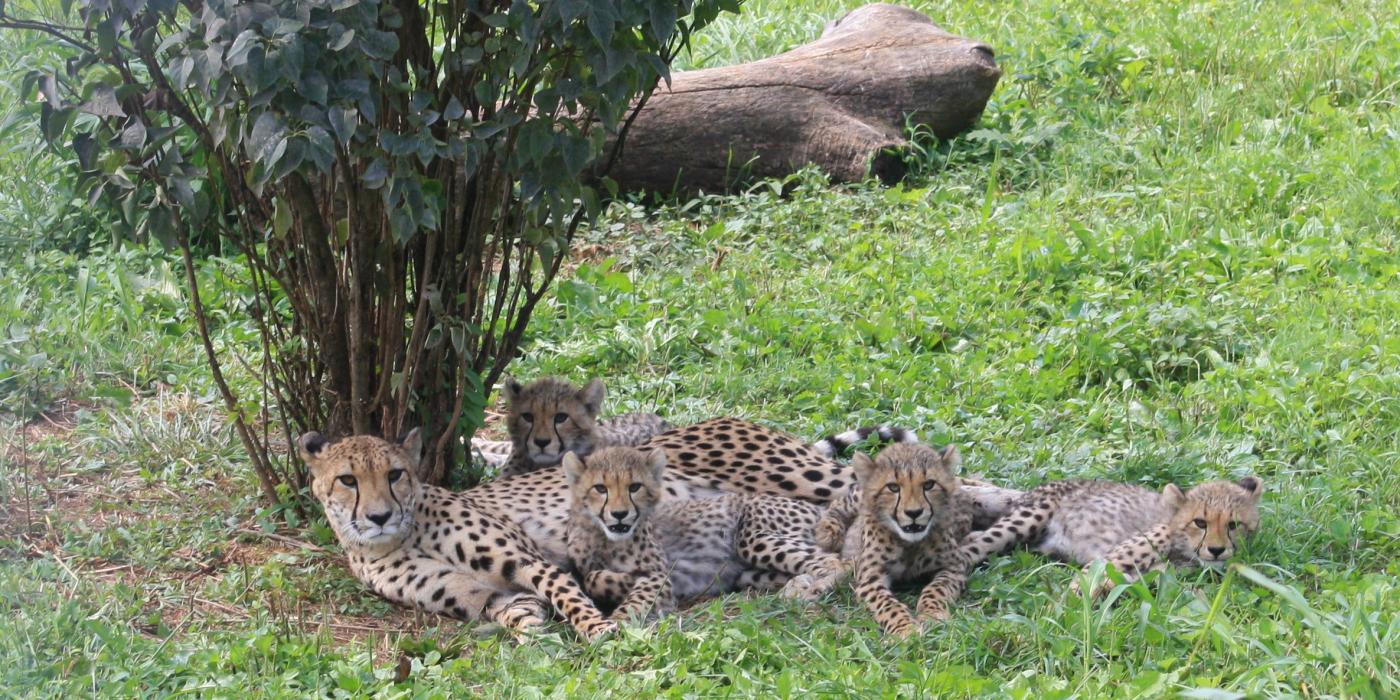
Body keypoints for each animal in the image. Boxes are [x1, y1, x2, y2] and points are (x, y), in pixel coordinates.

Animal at [957, 476, 1265, 596]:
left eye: (1233, 525)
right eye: (1200, 522)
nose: (1217, 550)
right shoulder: (1111, 558)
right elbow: (1083, 585)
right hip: (1029, 517)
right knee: (971, 548)